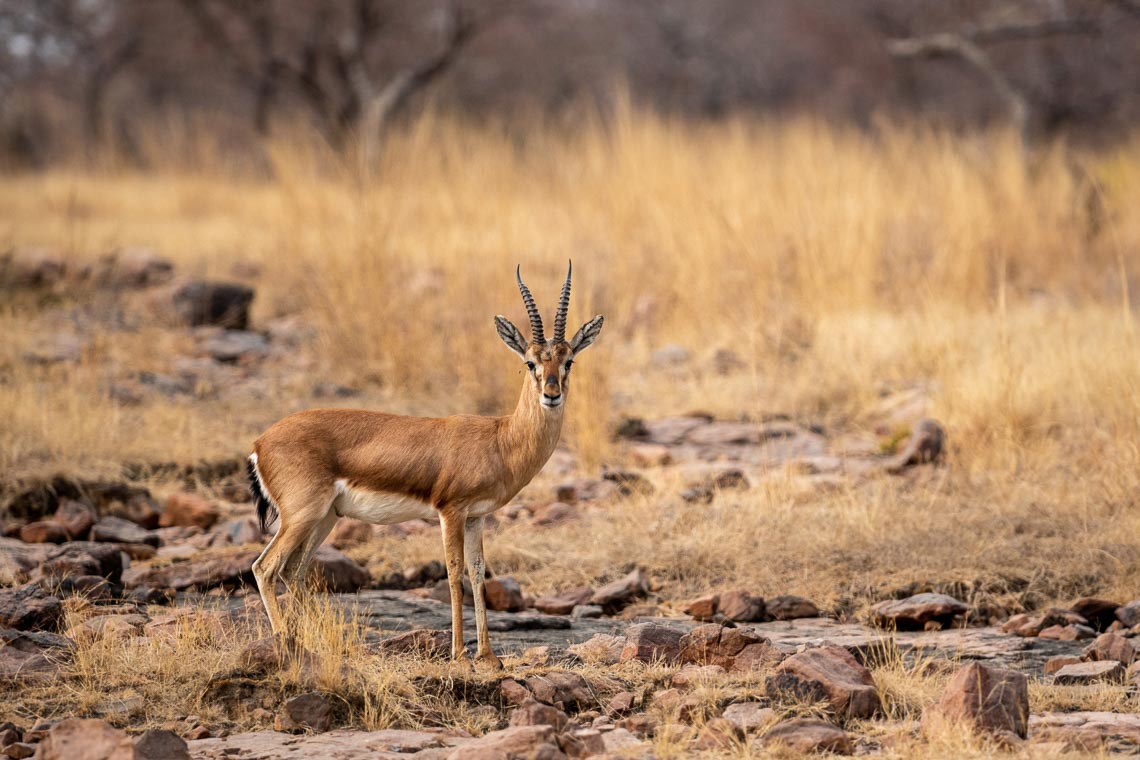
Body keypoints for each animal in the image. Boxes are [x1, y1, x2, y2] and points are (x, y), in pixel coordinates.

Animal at [247, 264, 606, 669]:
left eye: (568, 360)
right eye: (529, 362)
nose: (551, 394)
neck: (500, 440)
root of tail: (260, 444)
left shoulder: (476, 516)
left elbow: (477, 573)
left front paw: (489, 656)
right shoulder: (450, 511)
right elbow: (453, 573)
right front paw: (460, 655)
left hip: (325, 517)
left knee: (294, 571)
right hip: (302, 514)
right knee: (265, 567)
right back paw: (286, 644)